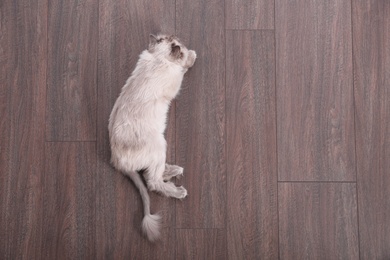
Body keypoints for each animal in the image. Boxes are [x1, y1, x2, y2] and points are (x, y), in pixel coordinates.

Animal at [108, 33, 197, 242]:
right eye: (179, 44)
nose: (176, 38)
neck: (157, 59)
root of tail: (117, 162)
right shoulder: (175, 78)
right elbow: (184, 64)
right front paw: (191, 55)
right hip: (160, 144)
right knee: (152, 181)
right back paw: (179, 190)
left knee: (152, 174)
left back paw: (175, 171)